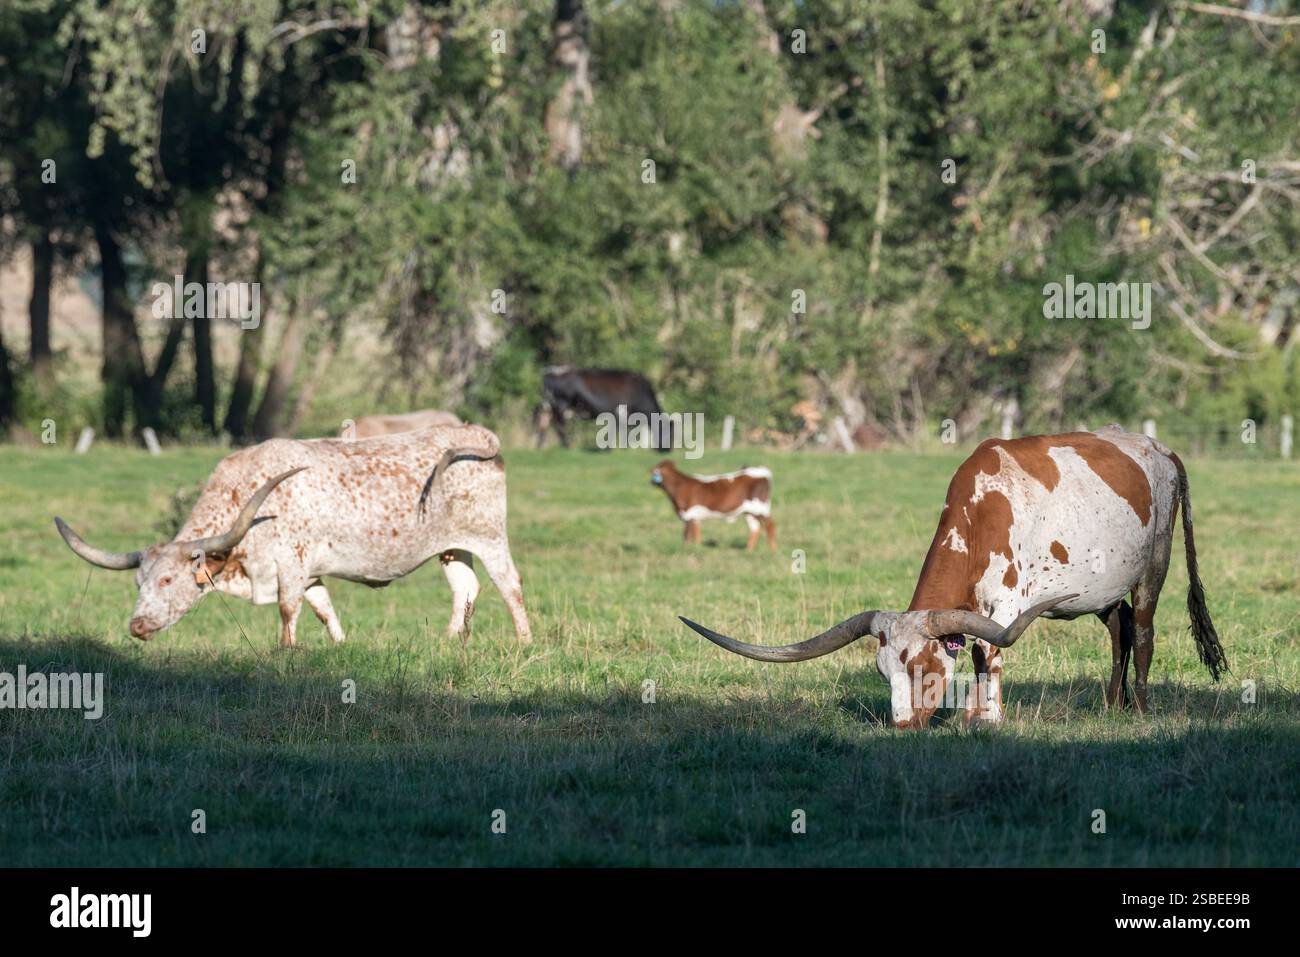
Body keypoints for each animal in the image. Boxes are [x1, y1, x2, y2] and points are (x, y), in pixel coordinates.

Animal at [54, 424, 532, 647]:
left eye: (169, 580)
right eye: (139, 582)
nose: (136, 626)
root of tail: (476, 433)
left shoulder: (292, 562)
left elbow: (288, 610)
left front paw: (286, 651)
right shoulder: (309, 570)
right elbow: (322, 608)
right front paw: (339, 645)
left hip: (490, 537)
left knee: (510, 585)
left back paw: (524, 641)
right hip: (452, 548)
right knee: (465, 588)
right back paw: (449, 641)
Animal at [535, 366, 671, 450]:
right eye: (669, 433)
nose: (668, 450)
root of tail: (549, 372)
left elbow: (618, 430)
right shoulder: (622, 411)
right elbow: (624, 431)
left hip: (549, 407)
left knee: (544, 424)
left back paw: (540, 448)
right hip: (560, 406)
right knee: (559, 426)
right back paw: (567, 447)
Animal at [679, 426, 1227, 728]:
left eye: (924, 669)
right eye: (883, 671)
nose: (902, 727)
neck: (982, 508)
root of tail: (1158, 447)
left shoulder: (1008, 603)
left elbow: (990, 653)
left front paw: (987, 718)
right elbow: (981, 655)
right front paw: (975, 715)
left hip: (1153, 567)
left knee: (1146, 631)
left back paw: (1140, 709)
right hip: (1101, 589)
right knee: (1120, 628)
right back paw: (1111, 705)